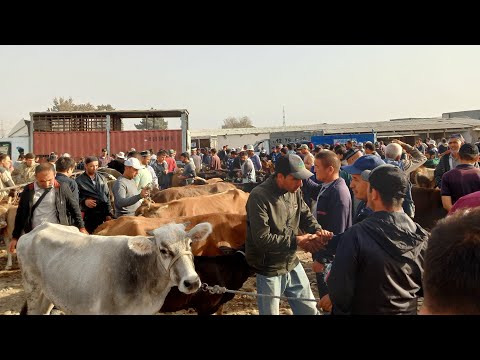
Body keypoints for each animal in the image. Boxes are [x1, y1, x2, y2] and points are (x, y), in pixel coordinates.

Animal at [16, 221, 212, 314]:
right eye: (163, 250)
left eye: (190, 243)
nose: (192, 282)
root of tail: (39, 228)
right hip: (33, 292)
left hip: (49, 296)